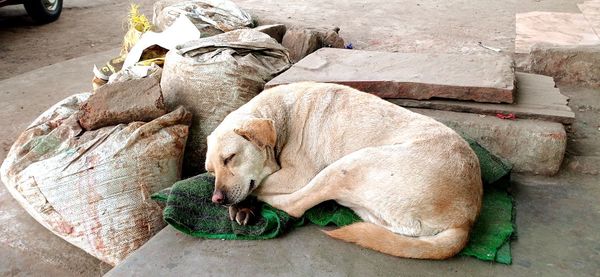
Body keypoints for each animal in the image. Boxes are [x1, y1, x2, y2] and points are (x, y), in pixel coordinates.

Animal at [205, 82, 482, 258]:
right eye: (210, 170)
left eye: (230, 158)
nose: (217, 199)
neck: (282, 115)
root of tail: (465, 220)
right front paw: (241, 206)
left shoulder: (297, 174)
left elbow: (260, 183)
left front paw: (244, 205)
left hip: (350, 164)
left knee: (295, 205)